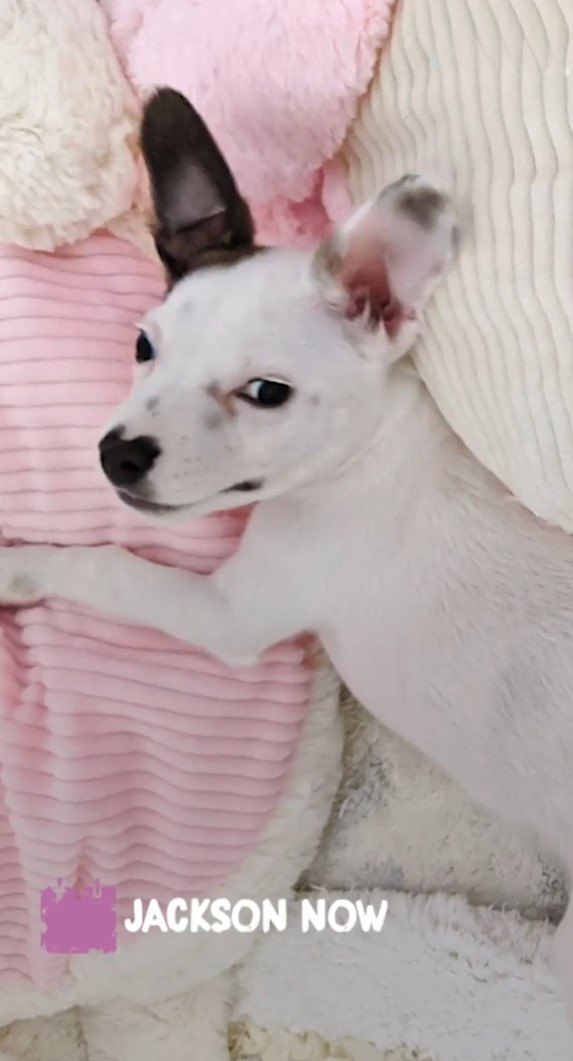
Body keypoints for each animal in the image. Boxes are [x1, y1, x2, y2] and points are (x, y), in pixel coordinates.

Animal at [1, 93, 573, 1027]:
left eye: (265, 394)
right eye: (142, 347)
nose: (117, 453)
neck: (367, 448)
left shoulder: (229, 615)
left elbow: (113, 566)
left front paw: (20, 565)